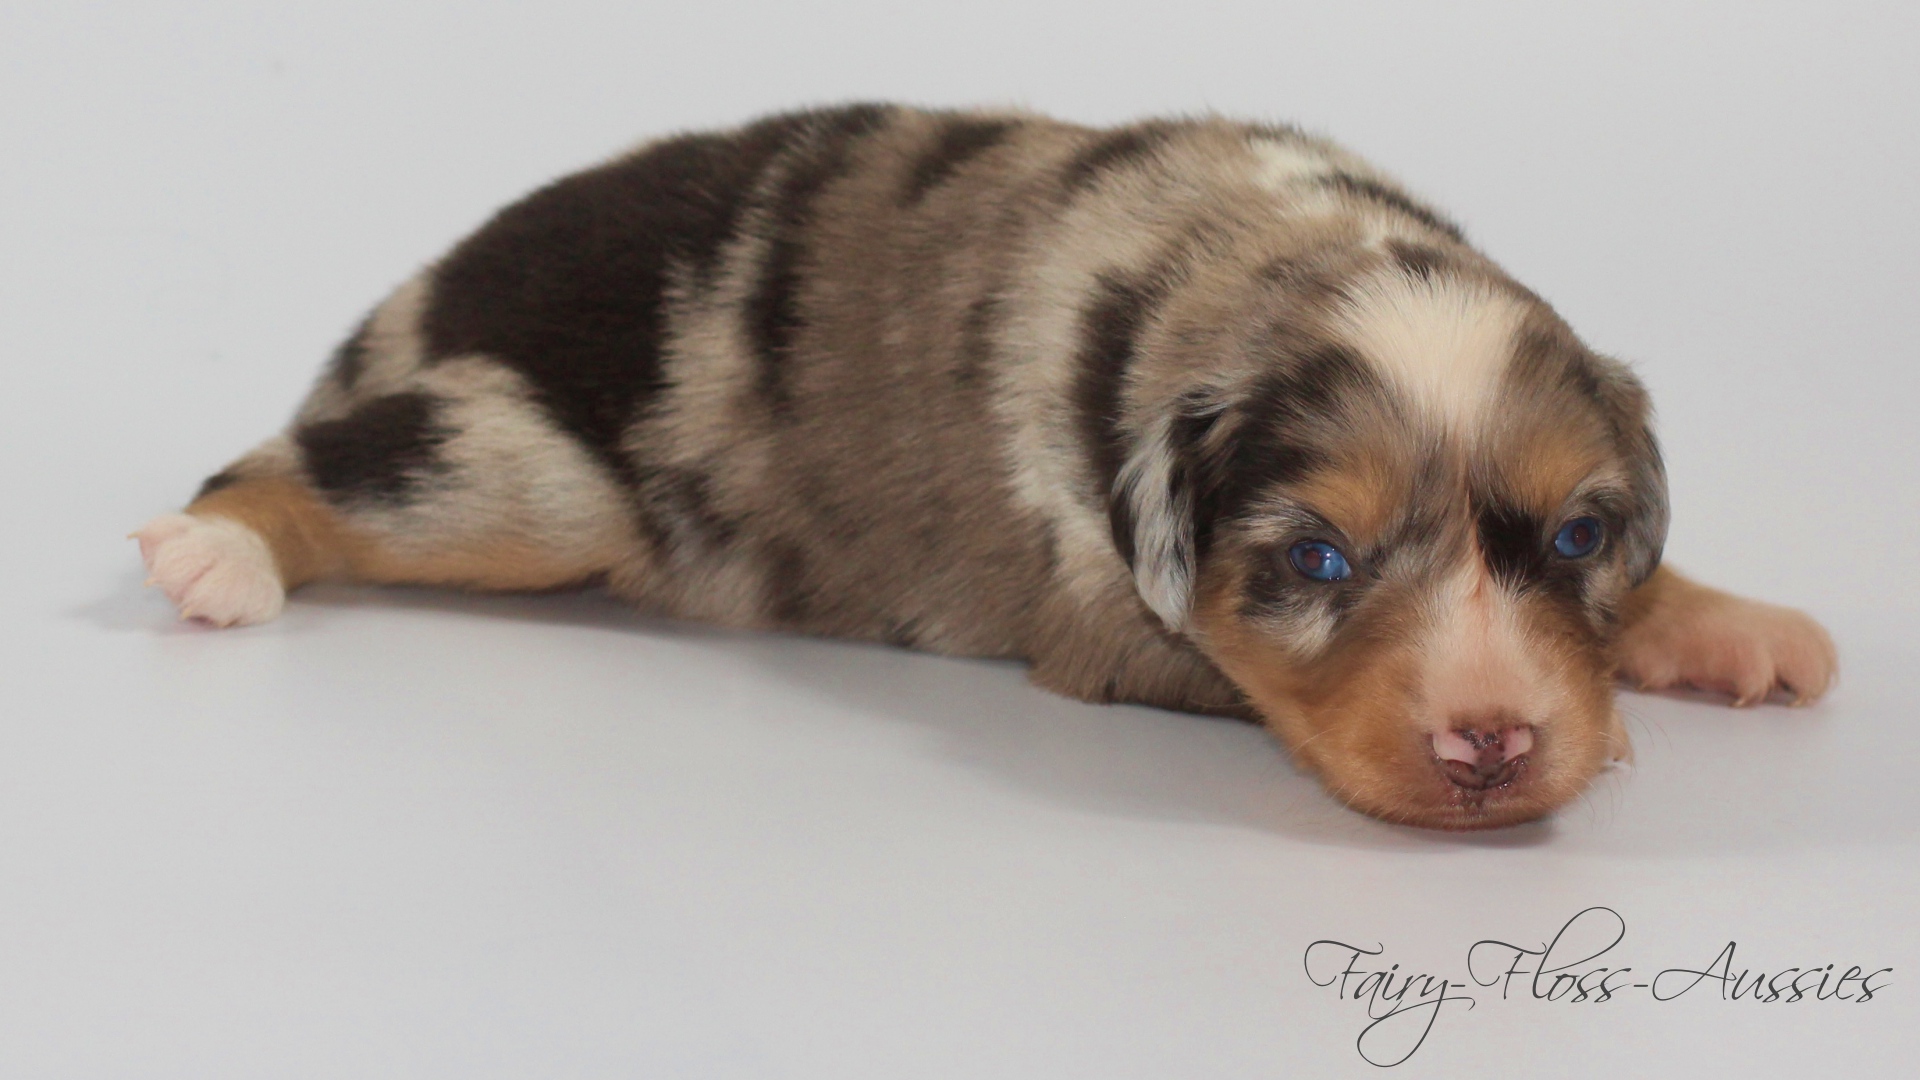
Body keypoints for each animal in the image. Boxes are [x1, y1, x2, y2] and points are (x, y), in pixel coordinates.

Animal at [134, 105, 1837, 829]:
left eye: (1574, 540)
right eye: (1317, 563)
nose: (1493, 742)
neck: (1254, 255)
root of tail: (433, 284)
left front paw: (1728, 629)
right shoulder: (1106, 624)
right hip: (528, 465)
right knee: (300, 468)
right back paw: (216, 557)